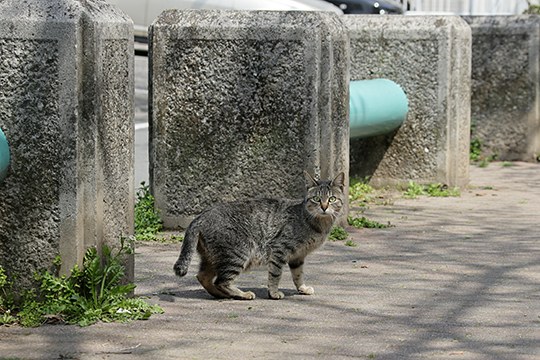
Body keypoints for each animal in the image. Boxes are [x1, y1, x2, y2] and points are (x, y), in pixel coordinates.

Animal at [174, 170, 346, 300]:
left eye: (332, 199)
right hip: (237, 254)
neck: (317, 223)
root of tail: (201, 215)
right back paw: (242, 294)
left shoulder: (298, 256)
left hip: (213, 258)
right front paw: (274, 293)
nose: (324, 207)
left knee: (203, 277)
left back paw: (222, 295)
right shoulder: (280, 250)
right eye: (316, 199)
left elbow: (298, 275)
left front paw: (302, 288)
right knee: (221, 281)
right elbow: (275, 274)